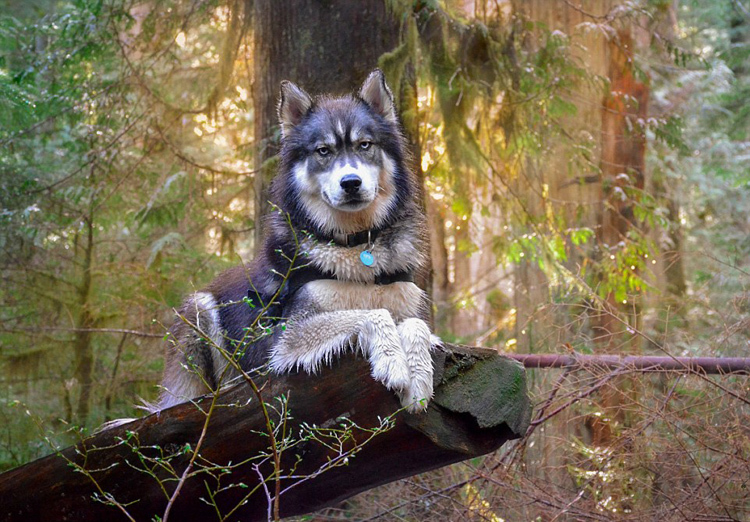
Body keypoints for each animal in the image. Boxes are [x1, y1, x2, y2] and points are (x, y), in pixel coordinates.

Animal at [161, 69, 438, 412]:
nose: (351, 183)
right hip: (198, 308)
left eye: (364, 145)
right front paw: (393, 361)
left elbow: (416, 325)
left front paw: (420, 379)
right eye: (324, 151)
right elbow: (371, 313)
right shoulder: (287, 337)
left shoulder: (409, 303)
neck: (357, 247)